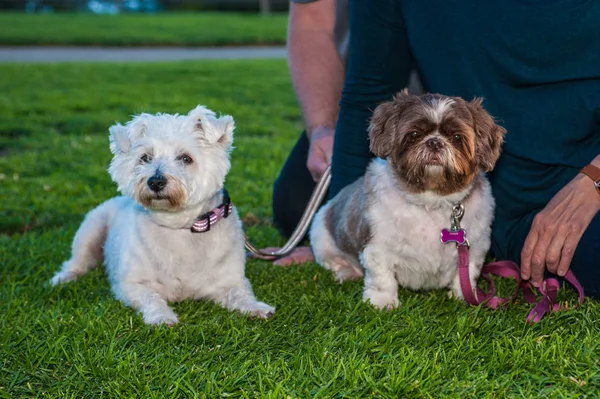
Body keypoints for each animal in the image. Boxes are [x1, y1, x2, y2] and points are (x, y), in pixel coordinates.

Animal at [50, 105, 276, 324]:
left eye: (186, 158)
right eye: (145, 158)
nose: (155, 181)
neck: (179, 225)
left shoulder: (231, 280)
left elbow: (241, 294)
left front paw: (257, 308)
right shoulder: (130, 284)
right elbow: (151, 297)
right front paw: (162, 317)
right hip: (90, 229)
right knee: (77, 262)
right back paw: (62, 278)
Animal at [310, 90, 506, 310]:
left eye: (456, 137)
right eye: (413, 134)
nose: (435, 142)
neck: (431, 200)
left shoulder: (474, 248)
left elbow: (466, 275)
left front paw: (463, 297)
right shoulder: (377, 246)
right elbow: (382, 278)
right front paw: (383, 303)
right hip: (321, 236)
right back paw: (347, 272)